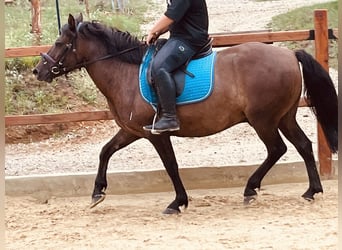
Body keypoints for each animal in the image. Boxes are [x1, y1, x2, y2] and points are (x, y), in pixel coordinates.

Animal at [33, 13, 338, 213]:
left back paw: (251, 189)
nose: (38, 71)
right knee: (303, 145)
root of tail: (289, 55)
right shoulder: (131, 131)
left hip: (263, 120)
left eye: (60, 43)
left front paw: (177, 202)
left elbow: (170, 165)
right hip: (284, 117)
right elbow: (106, 151)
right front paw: (98, 192)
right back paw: (311, 191)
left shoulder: (156, 134)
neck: (125, 73)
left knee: (277, 149)